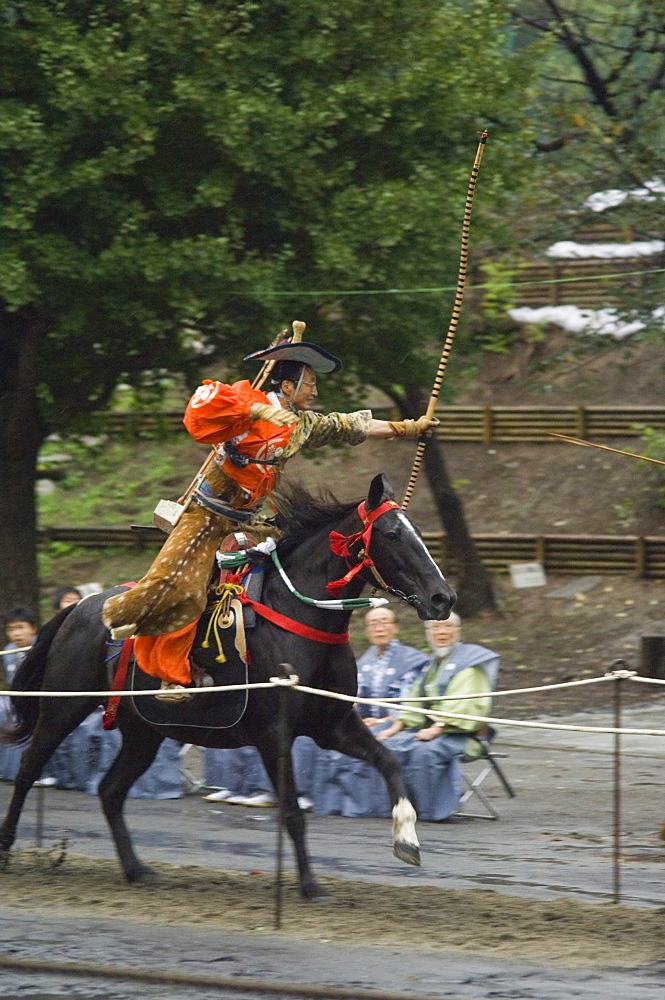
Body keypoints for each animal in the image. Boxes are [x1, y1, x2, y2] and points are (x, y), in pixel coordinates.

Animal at [0, 474, 452, 900]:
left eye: (418, 532)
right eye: (392, 535)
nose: (442, 598)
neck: (300, 617)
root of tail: (79, 607)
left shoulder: (333, 724)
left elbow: (389, 762)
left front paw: (407, 840)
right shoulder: (274, 734)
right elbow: (292, 813)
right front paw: (310, 886)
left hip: (144, 730)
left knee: (110, 791)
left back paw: (136, 869)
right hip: (63, 706)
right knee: (28, 771)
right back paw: (7, 849)